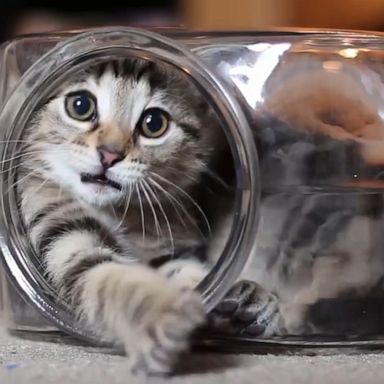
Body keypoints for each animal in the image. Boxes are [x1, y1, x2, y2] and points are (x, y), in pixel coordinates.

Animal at [16, 58, 232, 374]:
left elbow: (181, 268)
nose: (109, 154)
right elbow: (109, 276)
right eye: (80, 106)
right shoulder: (59, 223)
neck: (120, 214)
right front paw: (163, 315)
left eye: (154, 123)